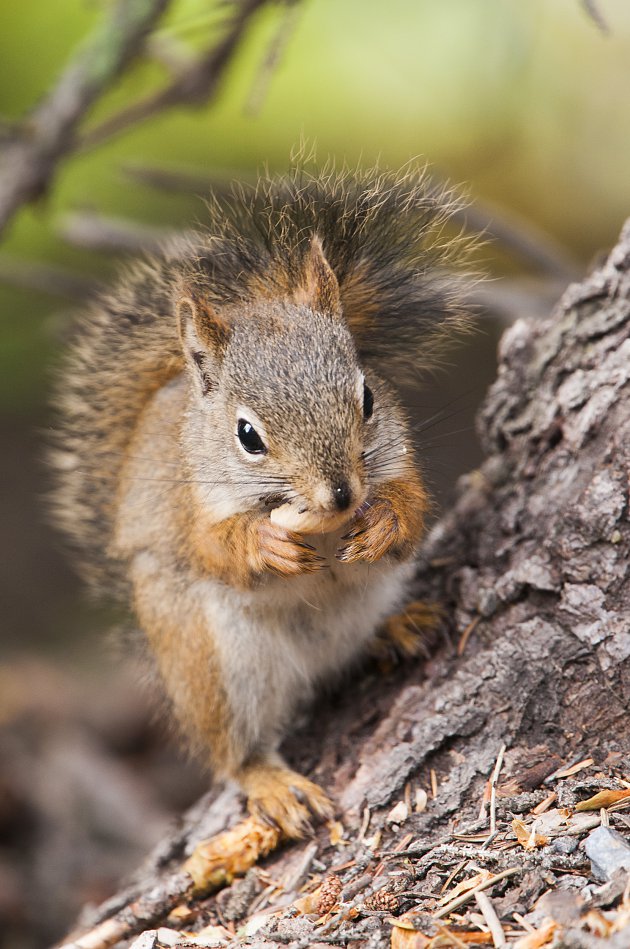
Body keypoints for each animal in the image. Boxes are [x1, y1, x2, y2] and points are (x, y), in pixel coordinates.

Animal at [50, 167, 474, 840]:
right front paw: (266, 543)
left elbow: (410, 505)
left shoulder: (396, 457)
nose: (342, 494)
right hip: (213, 664)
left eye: (368, 397)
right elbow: (214, 548)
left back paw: (397, 627)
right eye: (248, 435)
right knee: (233, 751)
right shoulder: (189, 507)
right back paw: (271, 783)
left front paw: (384, 522)